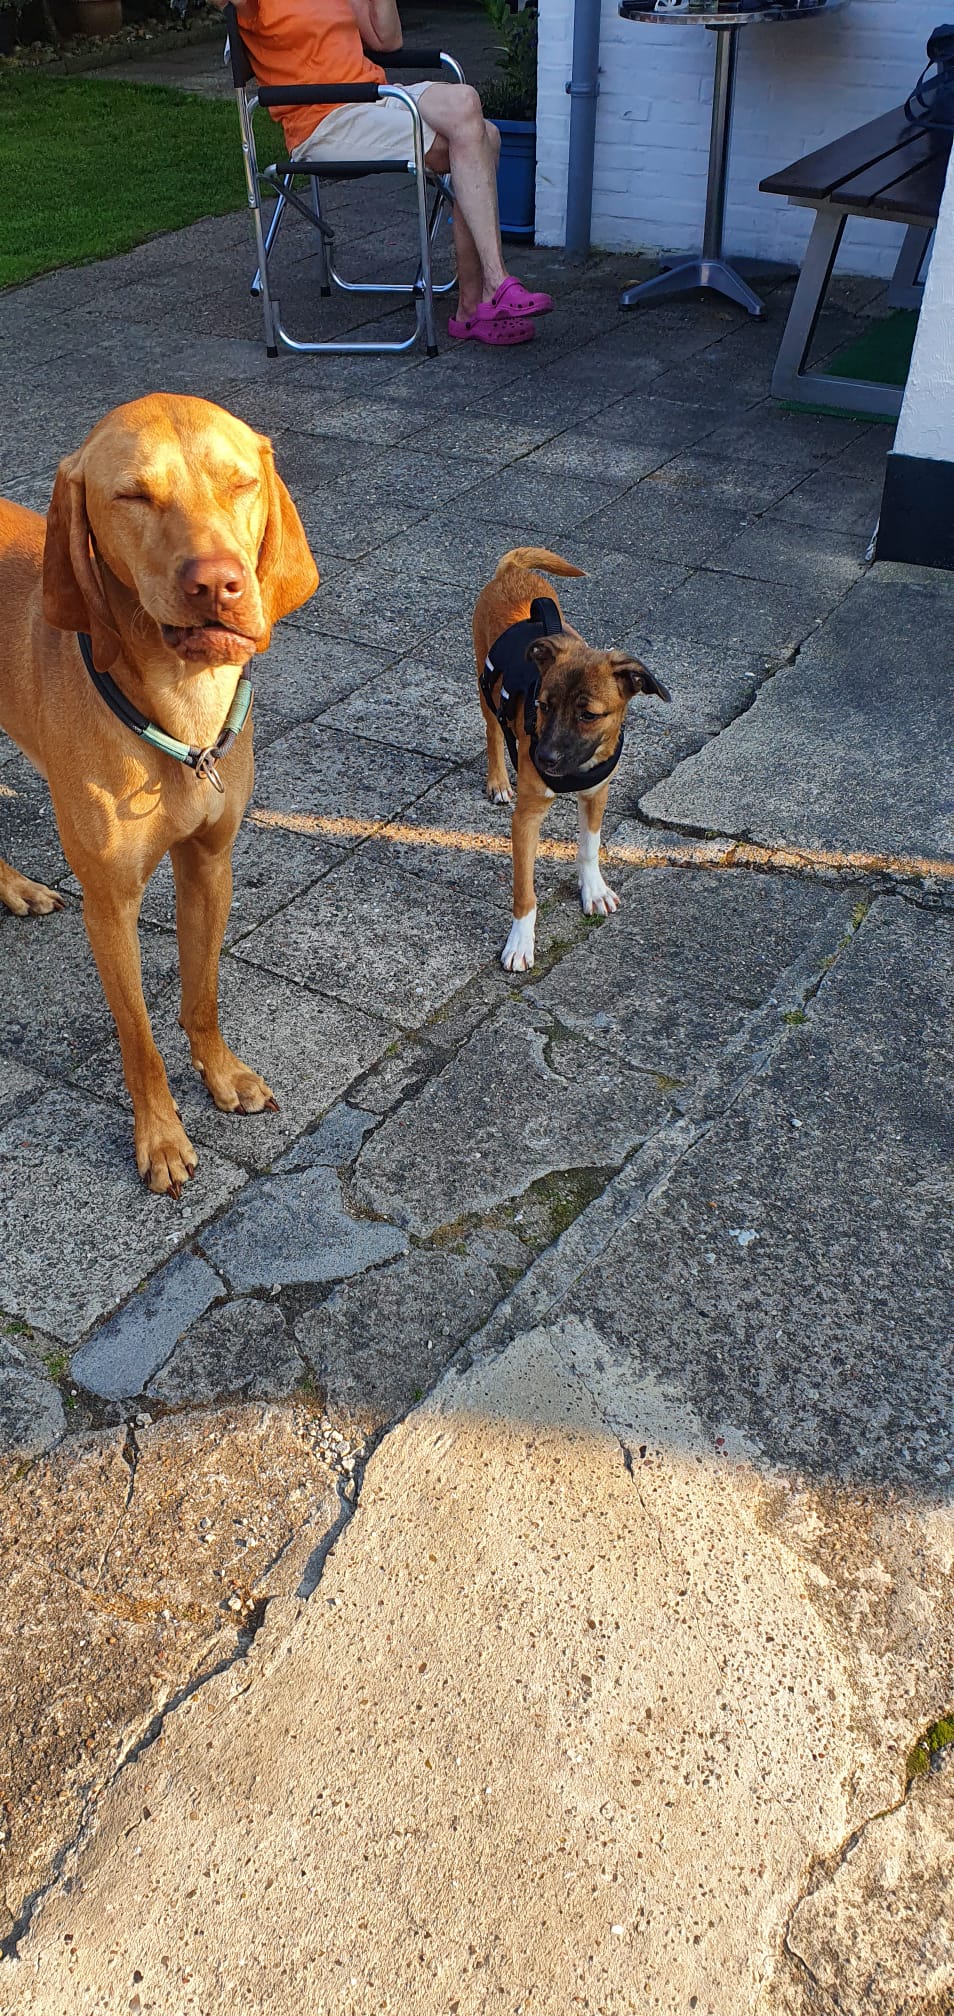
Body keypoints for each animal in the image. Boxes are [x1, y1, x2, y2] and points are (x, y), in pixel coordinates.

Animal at [0, 393, 318, 1195]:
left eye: (240, 483)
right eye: (134, 496)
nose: (217, 584)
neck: (182, 710)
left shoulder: (210, 863)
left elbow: (201, 994)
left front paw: (221, 1074)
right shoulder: (110, 905)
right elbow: (137, 1036)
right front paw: (163, 1136)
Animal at [473, 547, 671, 973]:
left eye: (589, 715)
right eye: (542, 706)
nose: (543, 757)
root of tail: (511, 572)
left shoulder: (597, 794)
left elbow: (589, 847)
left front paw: (593, 890)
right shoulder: (527, 817)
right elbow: (525, 890)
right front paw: (520, 942)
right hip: (485, 685)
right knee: (493, 730)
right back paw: (498, 781)